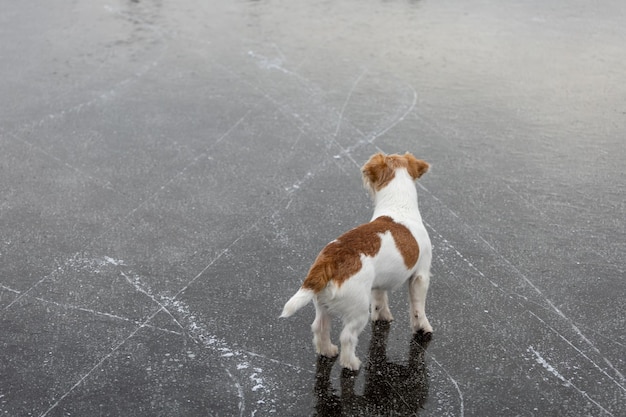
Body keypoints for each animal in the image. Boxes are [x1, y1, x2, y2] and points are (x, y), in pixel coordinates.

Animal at [280, 151, 432, 368]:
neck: (398, 206)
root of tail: (329, 260)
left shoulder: (378, 284)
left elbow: (380, 300)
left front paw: (383, 316)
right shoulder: (420, 276)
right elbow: (418, 307)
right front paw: (423, 327)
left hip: (323, 305)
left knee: (319, 327)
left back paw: (328, 351)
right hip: (358, 312)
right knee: (347, 337)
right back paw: (350, 362)